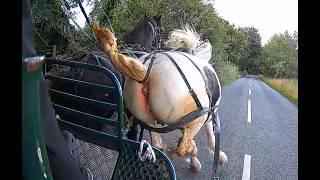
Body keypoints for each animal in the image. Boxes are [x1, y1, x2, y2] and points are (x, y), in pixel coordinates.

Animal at [91, 21, 229, 172]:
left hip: (147, 119)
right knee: (182, 147)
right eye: (158, 31)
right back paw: (191, 152)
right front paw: (220, 158)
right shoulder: (211, 114)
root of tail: (145, 71)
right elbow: (211, 139)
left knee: (158, 143)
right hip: (197, 118)